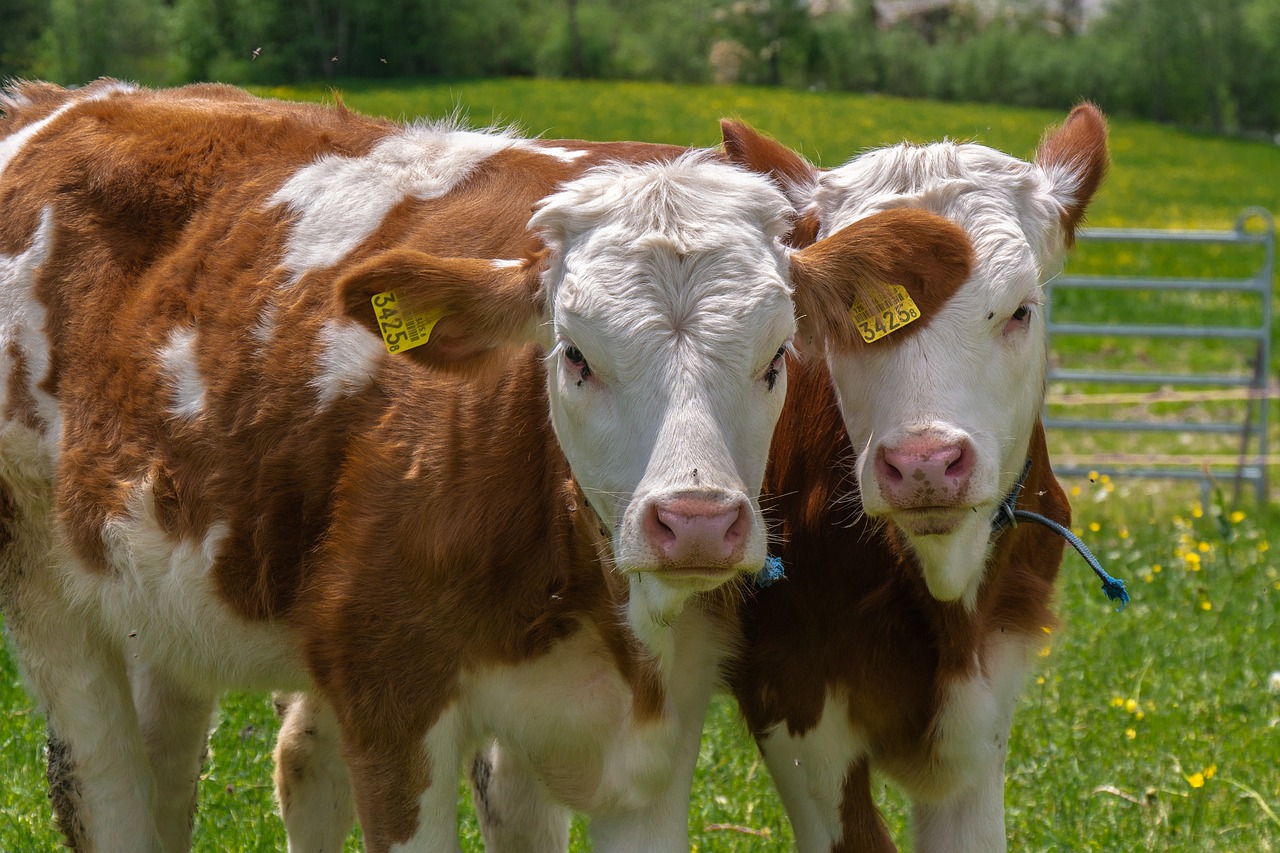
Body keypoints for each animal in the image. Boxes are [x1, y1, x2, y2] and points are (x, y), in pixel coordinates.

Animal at [0, 81, 967, 850]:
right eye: (573, 354)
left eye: (777, 358)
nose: (695, 522)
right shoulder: (389, 697)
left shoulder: (654, 741)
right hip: (46, 581)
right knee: (103, 783)